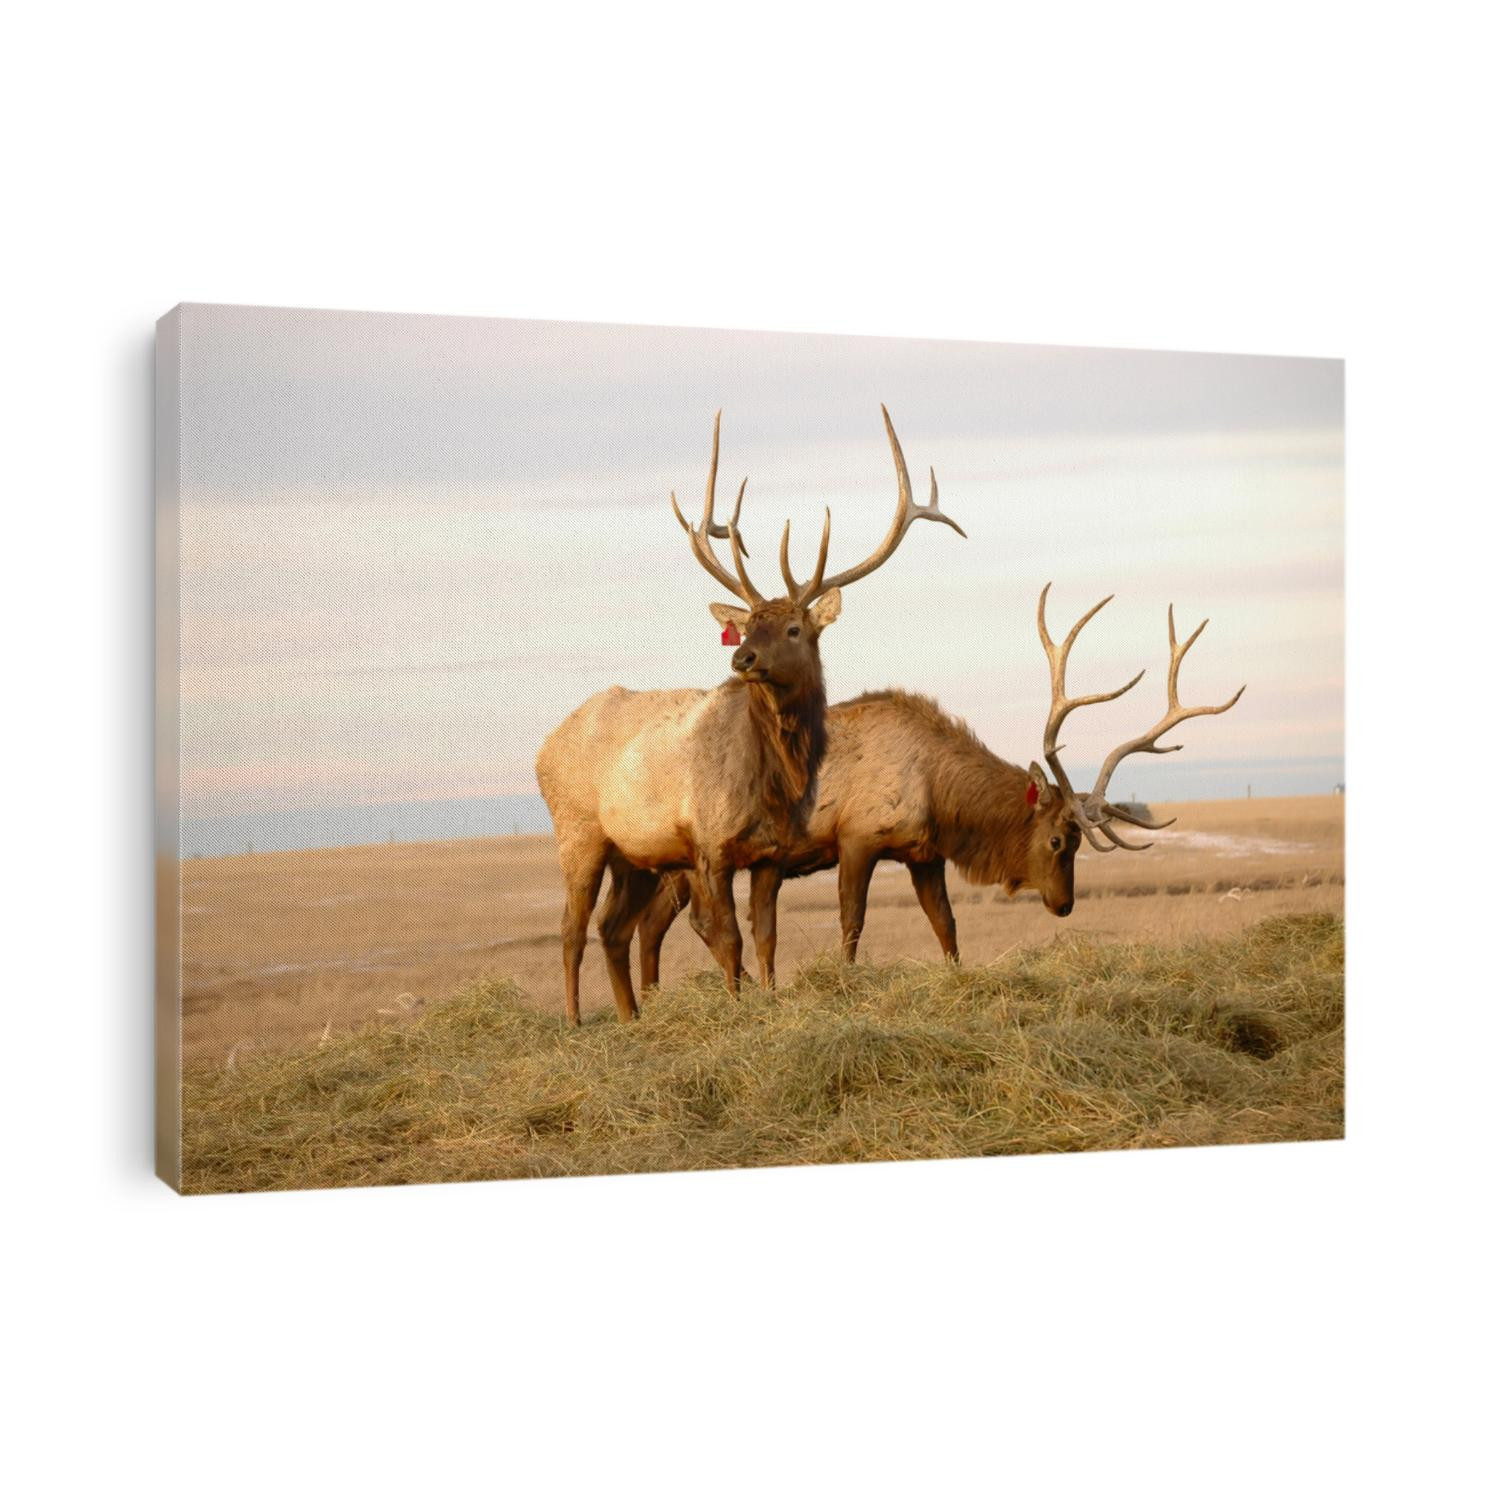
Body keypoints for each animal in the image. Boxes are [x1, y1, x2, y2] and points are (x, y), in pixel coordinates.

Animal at [533, 408, 965, 1025]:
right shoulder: (710, 846)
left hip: (634, 854)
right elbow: (727, 937)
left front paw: (768, 1000)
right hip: (578, 830)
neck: (772, 783)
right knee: (572, 930)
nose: (741, 658)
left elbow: (766, 937)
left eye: (793, 628)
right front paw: (736, 1009)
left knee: (611, 927)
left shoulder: (770, 856)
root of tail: (543, 747)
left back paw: (631, 1018)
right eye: (747, 626)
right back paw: (572, 1023)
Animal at [636, 583, 1244, 982]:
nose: (1065, 904)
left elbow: (946, 925)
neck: (940, 796)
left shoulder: (923, 853)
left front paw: (956, 975)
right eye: (1057, 840)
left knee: (649, 925)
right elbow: (852, 921)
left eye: (1077, 842)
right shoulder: (857, 837)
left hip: (674, 863)